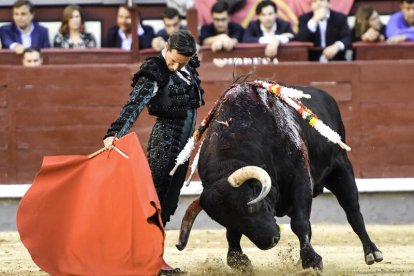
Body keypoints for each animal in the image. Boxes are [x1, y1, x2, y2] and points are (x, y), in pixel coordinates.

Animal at [174, 81, 382, 270]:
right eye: (223, 220)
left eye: (251, 207)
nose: (270, 241)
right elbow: (232, 234)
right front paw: (239, 261)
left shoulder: (301, 179)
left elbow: (299, 223)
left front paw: (311, 261)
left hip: (341, 170)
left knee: (353, 211)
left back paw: (372, 252)